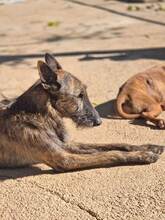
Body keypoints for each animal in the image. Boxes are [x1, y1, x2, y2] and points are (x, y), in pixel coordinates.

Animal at [0, 54, 163, 171]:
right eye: (79, 95)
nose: (99, 121)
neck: (38, 116)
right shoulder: (64, 159)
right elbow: (111, 153)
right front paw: (143, 155)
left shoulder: (67, 145)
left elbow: (114, 145)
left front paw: (147, 147)